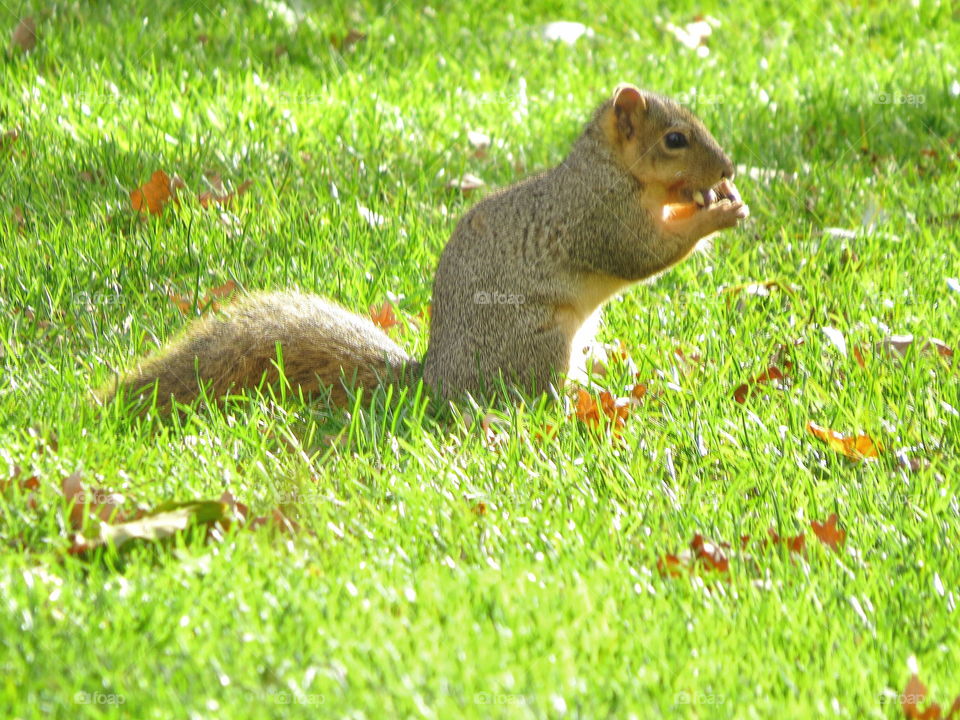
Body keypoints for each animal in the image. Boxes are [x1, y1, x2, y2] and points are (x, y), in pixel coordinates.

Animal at [101, 83, 748, 413]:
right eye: (675, 139)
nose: (728, 168)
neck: (611, 168)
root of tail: (436, 381)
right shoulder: (597, 215)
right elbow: (640, 254)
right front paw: (716, 213)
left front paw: (723, 199)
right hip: (536, 342)